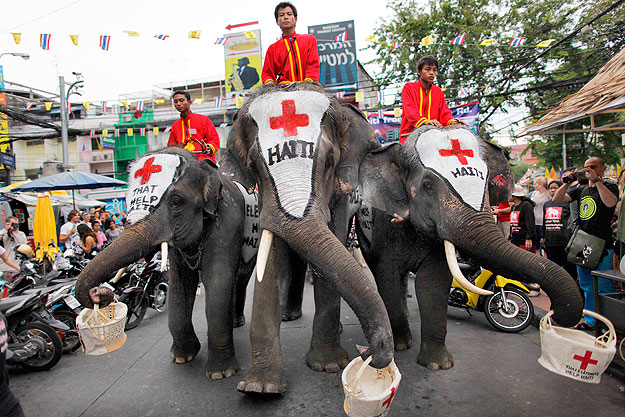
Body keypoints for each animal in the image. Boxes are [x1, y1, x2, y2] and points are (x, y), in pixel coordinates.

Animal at [73, 148, 258, 378]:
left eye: (176, 201)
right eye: (127, 200)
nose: (99, 293)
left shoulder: (228, 222)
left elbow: (217, 279)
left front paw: (220, 374)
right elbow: (180, 284)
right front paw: (182, 358)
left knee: (240, 278)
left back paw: (236, 322)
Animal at [222, 81, 392, 394]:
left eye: (329, 162)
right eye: (253, 166)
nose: (367, 352)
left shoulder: (338, 195)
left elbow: (331, 251)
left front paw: (328, 366)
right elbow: (272, 260)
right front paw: (259, 388)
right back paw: (289, 317)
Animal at [356, 125, 584, 368]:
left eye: (488, 181)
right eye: (427, 185)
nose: (554, 315)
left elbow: (432, 283)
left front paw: (438, 364)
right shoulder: (383, 227)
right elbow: (387, 276)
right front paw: (401, 346)